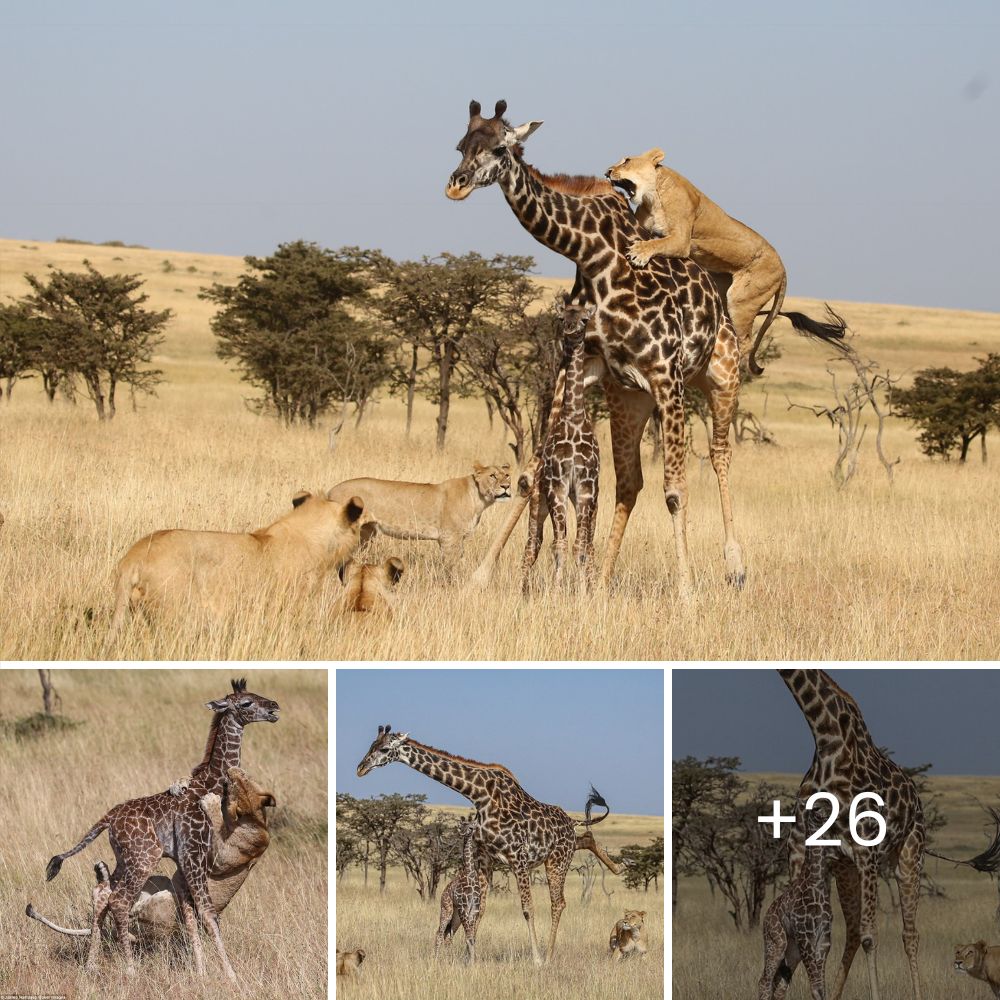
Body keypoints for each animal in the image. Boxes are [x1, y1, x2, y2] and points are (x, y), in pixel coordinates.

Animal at [42, 680, 278, 976]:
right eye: (246, 702)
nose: (274, 707)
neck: (209, 783)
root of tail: (108, 818)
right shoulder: (195, 855)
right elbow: (208, 913)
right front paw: (230, 975)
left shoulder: (186, 862)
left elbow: (189, 916)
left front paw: (201, 971)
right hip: (145, 857)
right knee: (119, 900)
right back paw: (130, 969)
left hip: (126, 859)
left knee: (103, 893)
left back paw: (91, 965)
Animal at [434, 820, 488, 960]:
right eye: (463, 825)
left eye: (472, 824)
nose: (470, 829)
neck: (470, 874)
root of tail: (443, 894)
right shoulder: (464, 908)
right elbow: (469, 937)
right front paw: (471, 961)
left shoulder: (474, 909)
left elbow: (471, 938)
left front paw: (472, 960)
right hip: (447, 910)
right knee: (439, 933)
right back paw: (435, 958)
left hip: (456, 917)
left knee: (448, 935)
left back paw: (448, 958)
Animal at [524, 300, 600, 588]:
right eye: (561, 318)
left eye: (584, 319)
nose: (570, 331)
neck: (574, 417)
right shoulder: (557, 486)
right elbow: (560, 544)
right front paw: (557, 590)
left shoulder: (586, 488)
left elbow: (580, 545)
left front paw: (583, 590)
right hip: (538, 501)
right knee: (532, 544)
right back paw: (523, 590)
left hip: (587, 501)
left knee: (588, 543)